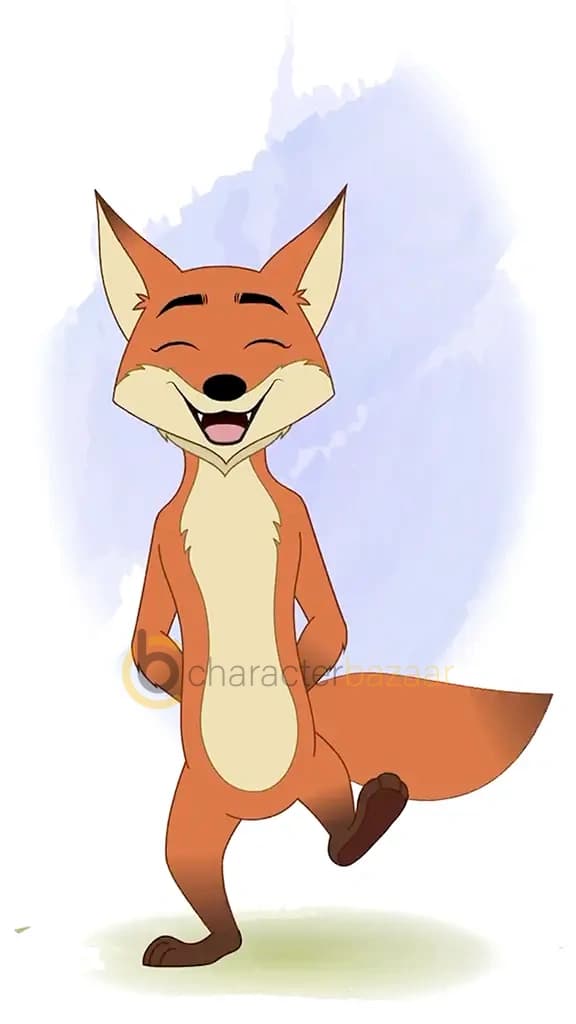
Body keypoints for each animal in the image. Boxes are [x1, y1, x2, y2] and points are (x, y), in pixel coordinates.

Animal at [95, 187, 551, 968]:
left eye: (263, 346)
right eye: (181, 348)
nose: (224, 387)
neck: (228, 494)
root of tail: (261, 808)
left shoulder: (303, 528)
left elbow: (329, 627)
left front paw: (305, 679)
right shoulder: (160, 541)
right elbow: (150, 640)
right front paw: (183, 677)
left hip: (317, 768)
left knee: (340, 831)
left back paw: (375, 812)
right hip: (192, 823)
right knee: (217, 906)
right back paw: (199, 947)